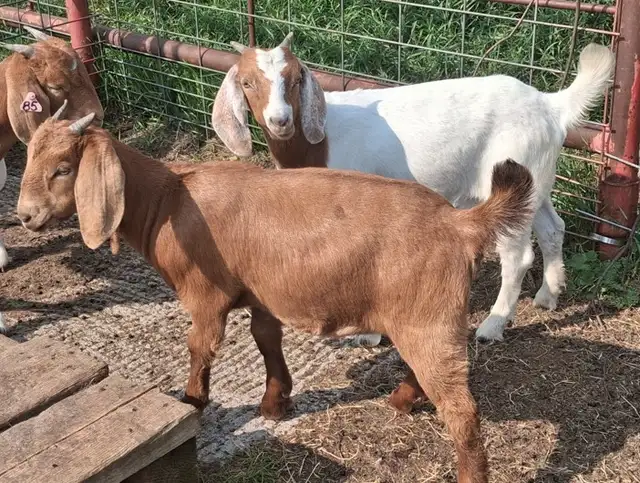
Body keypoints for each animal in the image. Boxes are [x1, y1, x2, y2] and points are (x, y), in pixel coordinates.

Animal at [17, 107, 535, 483]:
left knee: (461, 409)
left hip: (428, 317)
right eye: (28, 159)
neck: (168, 200)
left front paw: (192, 402)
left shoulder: (206, 295)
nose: (24, 215)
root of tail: (459, 222)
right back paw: (402, 399)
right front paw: (275, 402)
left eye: (63, 169)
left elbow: (199, 347)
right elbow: (266, 339)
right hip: (419, 316)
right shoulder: (262, 293)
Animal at [212, 33, 615, 344]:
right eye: (247, 82)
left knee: (518, 255)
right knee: (553, 228)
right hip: (536, 175)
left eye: (296, 78)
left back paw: (493, 325)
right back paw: (548, 295)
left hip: (506, 175)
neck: (317, 141)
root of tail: (549, 105)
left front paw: (367, 334)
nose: (280, 120)